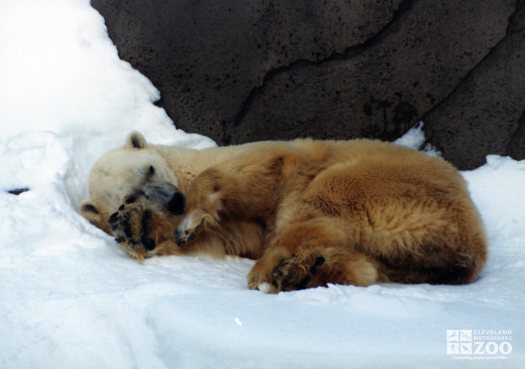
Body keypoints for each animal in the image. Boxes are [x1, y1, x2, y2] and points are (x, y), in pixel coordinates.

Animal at [81, 131, 488, 292]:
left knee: (325, 194)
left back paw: (275, 269)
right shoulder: (243, 224)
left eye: (149, 169)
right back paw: (305, 270)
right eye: (128, 196)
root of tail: (473, 245)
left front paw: (188, 220)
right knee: (361, 262)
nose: (174, 203)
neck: (183, 167)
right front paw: (137, 226)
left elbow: (261, 167)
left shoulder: (271, 161)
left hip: (389, 182)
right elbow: (238, 234)